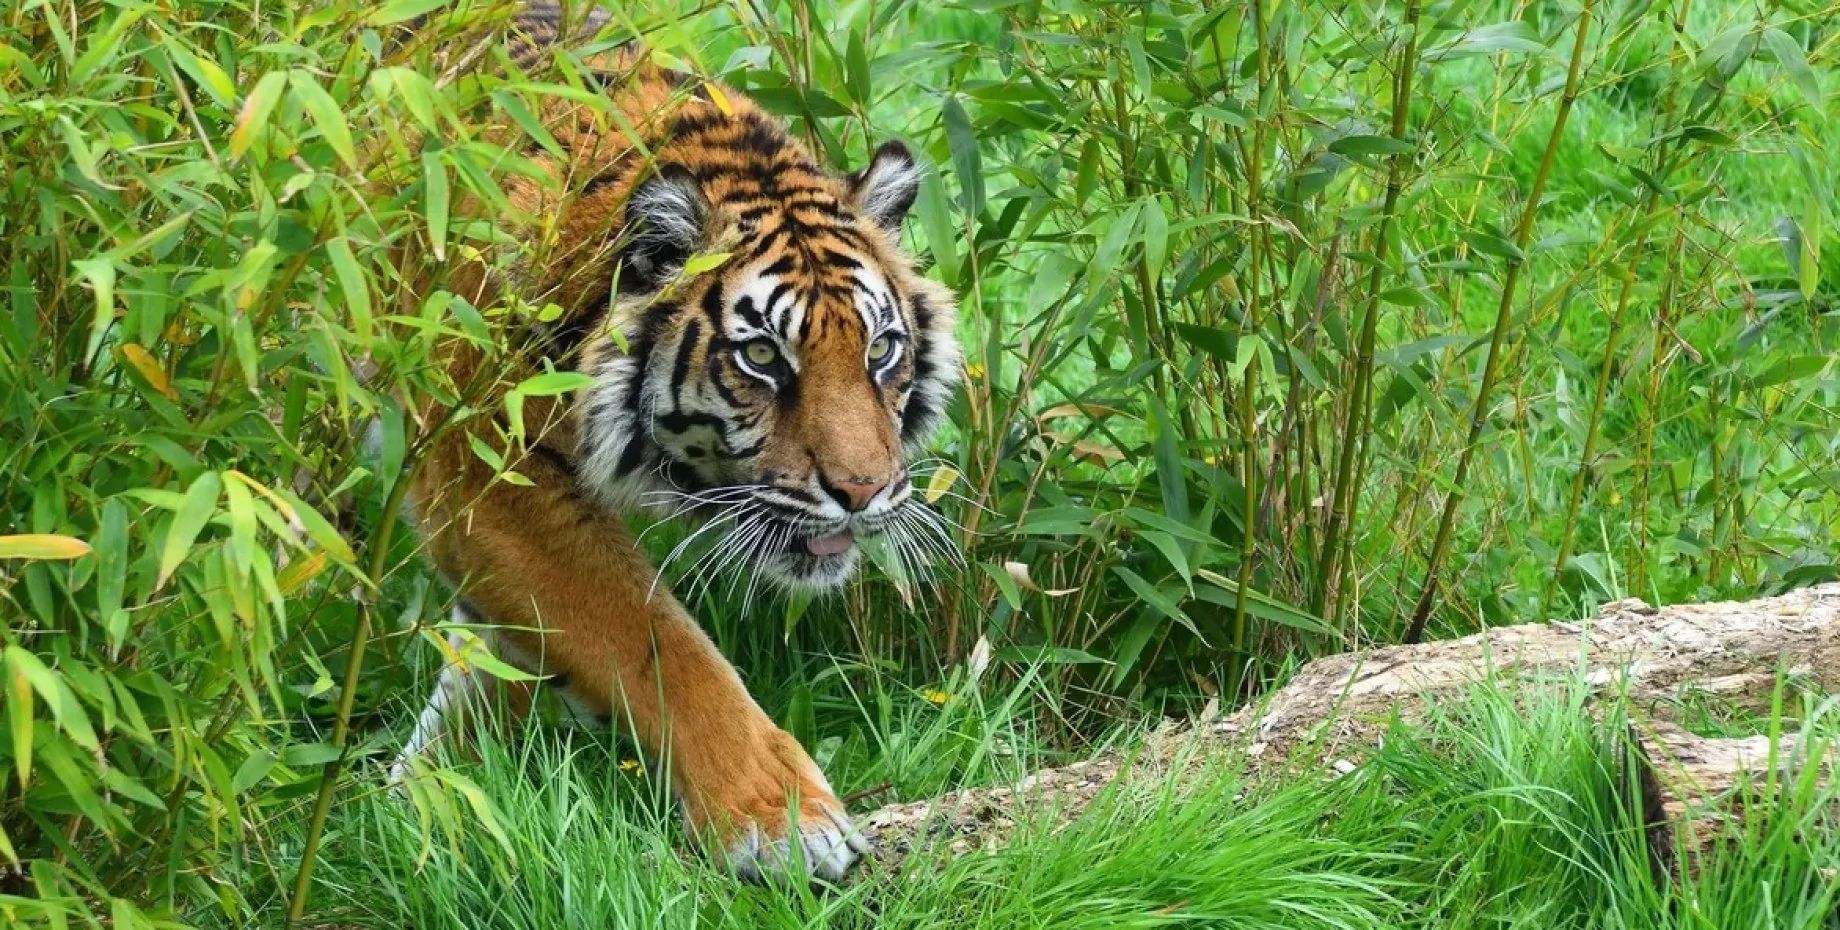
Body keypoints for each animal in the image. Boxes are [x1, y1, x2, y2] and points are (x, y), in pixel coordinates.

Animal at [388, 3, 960, 883]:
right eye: (763, 357)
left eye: (880, 350)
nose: (863, 493)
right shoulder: (482, 468)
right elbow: (656, 643)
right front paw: (785, 822)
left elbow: (494, 659)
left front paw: (424, 804)